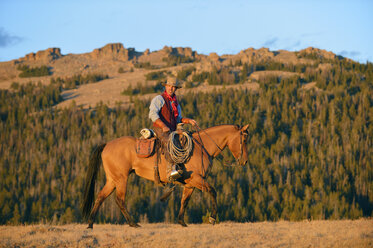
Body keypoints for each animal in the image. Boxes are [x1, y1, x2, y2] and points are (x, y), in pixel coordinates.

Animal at [82, 124, 248, 227]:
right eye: (244, 139)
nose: (244, 160)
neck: (202, 147)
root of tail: (107, 145)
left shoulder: (190, 184)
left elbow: (184, 201)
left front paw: (182, 222)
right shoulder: (197, 179)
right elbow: (213, 192)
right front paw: (212, 218)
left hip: (112, 179)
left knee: (100, 197)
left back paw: (90, 224)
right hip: (121, 179)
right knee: (119, 200)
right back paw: (133, 223)